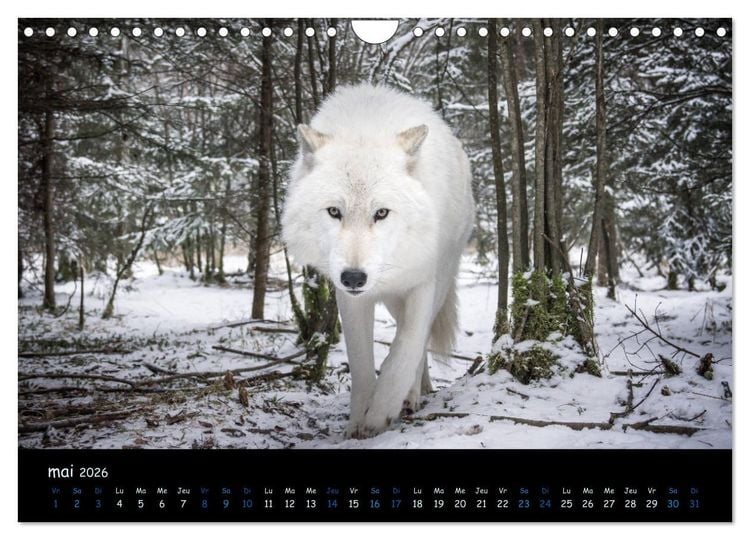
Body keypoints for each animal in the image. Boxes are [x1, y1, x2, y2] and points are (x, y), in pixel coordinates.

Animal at [281, 84, 475, 438]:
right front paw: (358, 422)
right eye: (334, 212)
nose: (354, 278)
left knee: (420, 340)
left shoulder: (423, 283)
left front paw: (381, 411)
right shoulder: (351, 299)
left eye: (381, 213)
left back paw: (411, 396)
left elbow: (405, 351)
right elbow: (360, 364)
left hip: (440, 280)